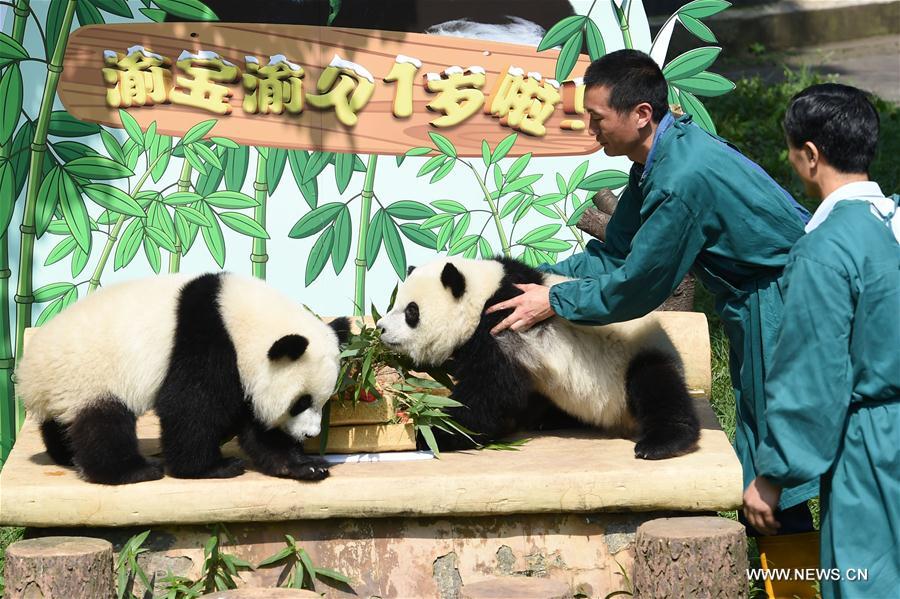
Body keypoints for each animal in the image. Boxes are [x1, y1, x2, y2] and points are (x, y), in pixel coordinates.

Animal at [16, 274, 352, 486]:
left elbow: (256, 425)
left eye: (321, 401)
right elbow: (190, 405)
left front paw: (304, 465)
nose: (309, 435)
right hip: (88, 376)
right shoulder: (205, 340)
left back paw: (65, 454)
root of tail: (28, 375)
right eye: (300, 403)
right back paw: (133, 471)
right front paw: (211, 468)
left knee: (63, 424)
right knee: (103, 425)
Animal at [376, 256, 700, 460]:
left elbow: (492, 390)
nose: (380, 329)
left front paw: (433, 431)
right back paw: (549, 419)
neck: (482, 293)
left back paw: (662, 442)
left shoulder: (503, 324)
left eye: (411, 312)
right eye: (395, 304)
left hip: (633, 359)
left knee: (655, 384)